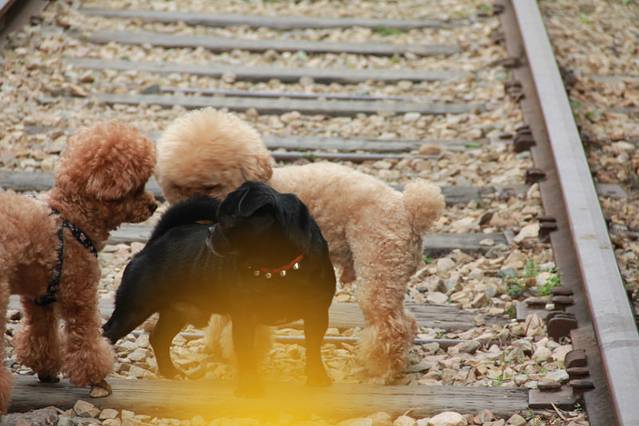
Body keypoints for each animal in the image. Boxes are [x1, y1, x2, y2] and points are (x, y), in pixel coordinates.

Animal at [0, 122, 157, 412]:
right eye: (137, 186)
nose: (154, 205)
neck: (73, 217)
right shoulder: (79, 294)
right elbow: (88, 343)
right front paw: (98, 379)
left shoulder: (40, 299)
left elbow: (41, 337)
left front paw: (46, 370)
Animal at [103, 182, 336, 396]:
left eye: (225, 221)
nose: (210, 230)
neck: (277, 268)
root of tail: (158, 240)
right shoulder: (245, 318)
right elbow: (246, 352)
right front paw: (250, 387)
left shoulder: (317, 314)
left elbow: (314, 348)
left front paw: (317, 377)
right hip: (133, 309)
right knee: (106, 334)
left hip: (176, 313)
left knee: (159, 339)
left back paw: (171, 372)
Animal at [155, 109, 445, 381]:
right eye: (178, 187)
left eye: (211, 186)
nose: (196, 212)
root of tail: (408, 208)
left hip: (379, 267)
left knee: (392, 324)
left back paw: (382, 370)